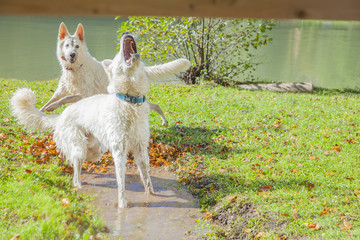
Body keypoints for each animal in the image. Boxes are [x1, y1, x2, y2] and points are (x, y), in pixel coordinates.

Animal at [10, 32, 190, 207]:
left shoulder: (140, 148)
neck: (130, 102)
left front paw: (151, 196)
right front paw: (122, 205)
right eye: (118, 55)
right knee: (76, 174)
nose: (126, 32)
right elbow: (121, 182)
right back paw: (79, 186)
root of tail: (60, 117)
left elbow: (147, 179)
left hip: (95, 150)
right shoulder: (119, 150)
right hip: (79, 148)